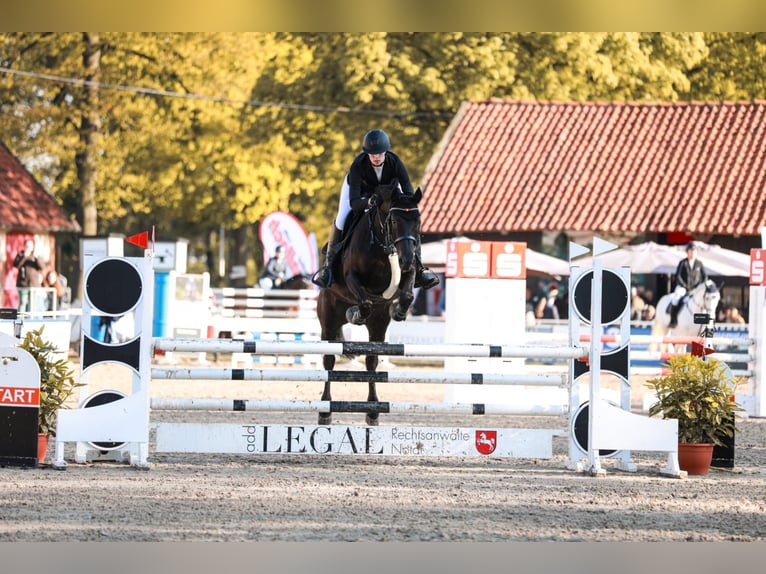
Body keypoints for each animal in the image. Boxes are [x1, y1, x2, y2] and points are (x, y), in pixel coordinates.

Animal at [318, 183, 426, 428]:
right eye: (393, 221)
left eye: (418, 221)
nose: (406, 259)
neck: (381, 247)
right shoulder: (352, 277)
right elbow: (364, 301)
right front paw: (356, 313)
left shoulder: (408, 274)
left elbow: (407, 294)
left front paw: (398, 311)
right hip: (328, 320)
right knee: (329, 361)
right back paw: (325, 411)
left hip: (377, 325)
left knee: (371, 362)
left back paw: (373, 411)